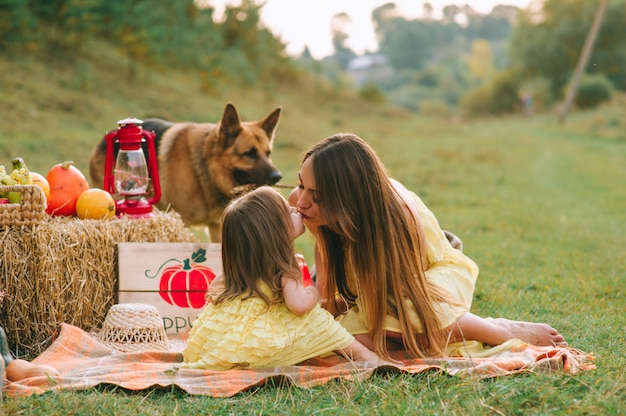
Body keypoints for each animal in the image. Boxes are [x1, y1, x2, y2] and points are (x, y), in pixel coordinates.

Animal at [87, 102, 280, 242]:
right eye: (249, 153)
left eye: (268, 153)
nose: (277, 177)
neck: (205, 168)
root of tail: (103, 141)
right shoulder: (183, 221)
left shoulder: (217, 226)